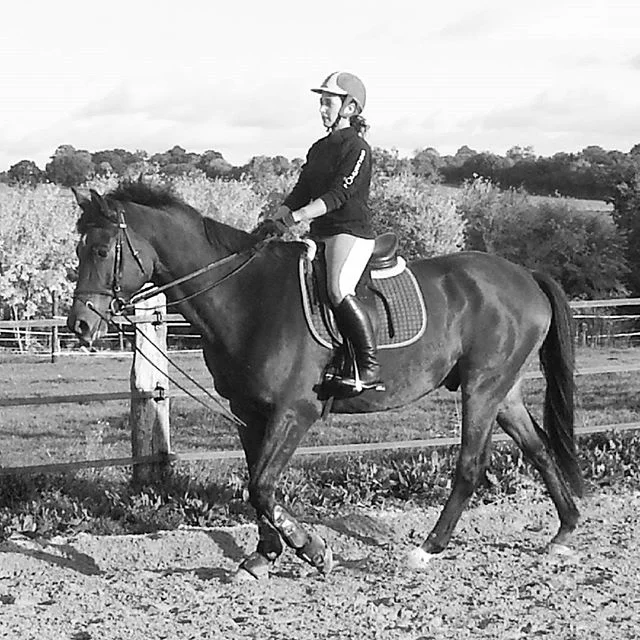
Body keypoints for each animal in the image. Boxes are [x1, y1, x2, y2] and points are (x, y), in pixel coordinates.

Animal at [67, 183, 583, 578]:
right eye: (78, 249)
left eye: (101, 249)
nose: (80, 326)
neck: (246, 295)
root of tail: (524, 275)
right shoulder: (248, 412)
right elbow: (258, 484)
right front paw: (263, 556)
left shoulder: (296, 411)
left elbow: (263, 486)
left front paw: (312, 550)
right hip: (503, 390)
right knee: (539, 448)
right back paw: (564, 531)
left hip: (482, 388)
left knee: (471, 465)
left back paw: (426, 549)